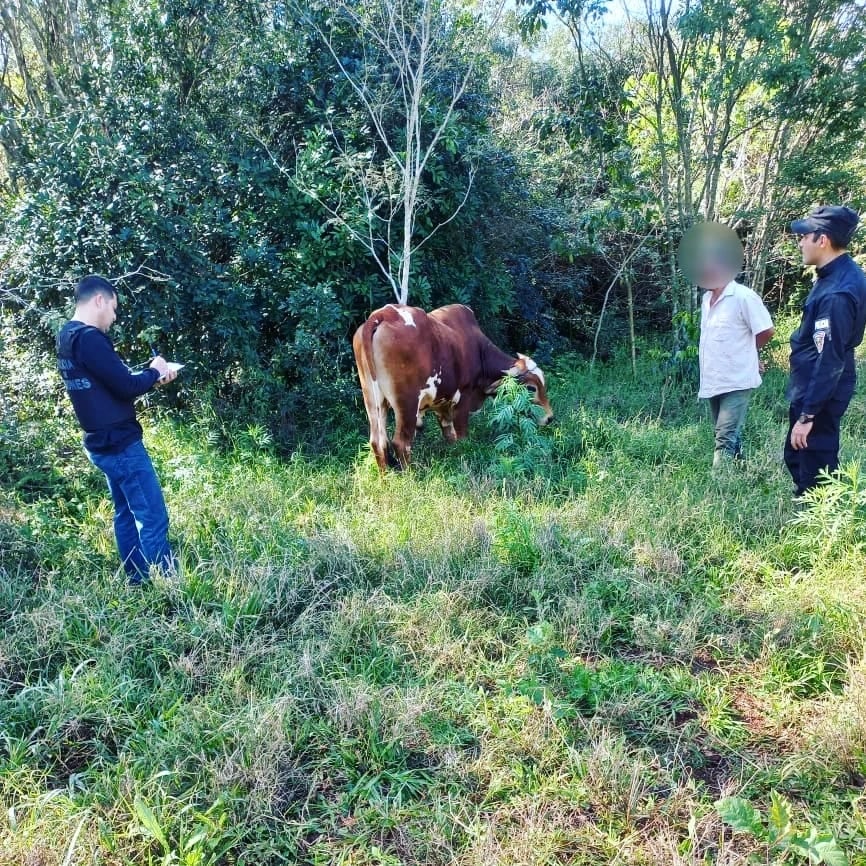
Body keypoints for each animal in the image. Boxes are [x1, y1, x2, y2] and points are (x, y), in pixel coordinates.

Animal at [352, 300, 552, 470]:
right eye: (531, 388)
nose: (550, 418)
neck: (479, 351)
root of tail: (383, 314)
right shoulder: (463, 397)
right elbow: (462, 436)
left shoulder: (442, 402)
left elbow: (449, 433)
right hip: (407, 404)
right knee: (401, 443)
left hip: (373, 401)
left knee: (378, 442)